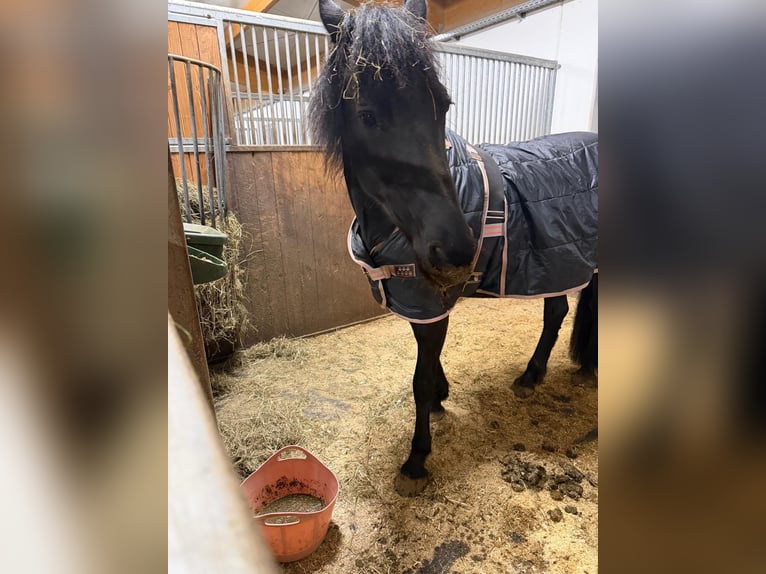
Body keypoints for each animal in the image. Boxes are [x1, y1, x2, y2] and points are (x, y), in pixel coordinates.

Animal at [309, 0, 598, 496]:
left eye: (442, 105)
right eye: (367, 115)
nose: (457, 251)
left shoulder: (433, 304)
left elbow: (420, 381)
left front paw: (416, 459)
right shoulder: (422, 307)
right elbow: (427, 368)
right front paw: (443, 398)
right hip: (555, 263)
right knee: (557, 311)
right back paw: (533, 376)